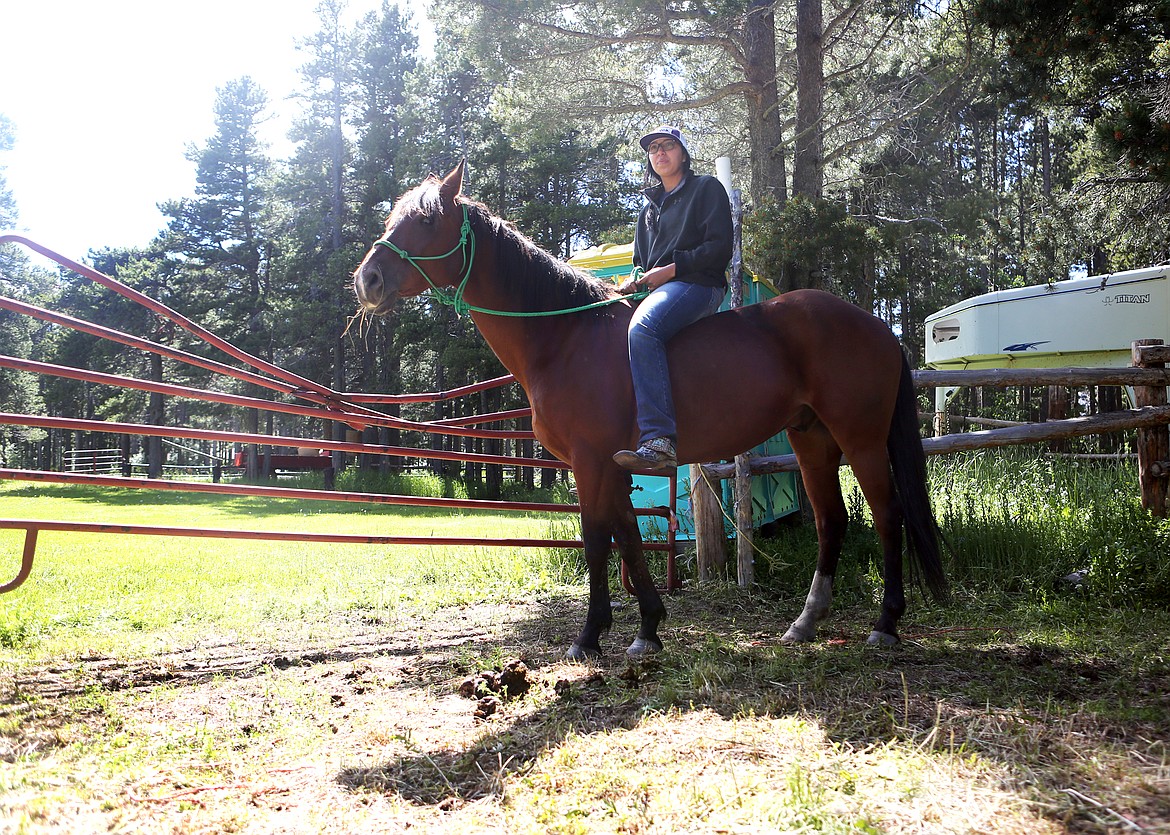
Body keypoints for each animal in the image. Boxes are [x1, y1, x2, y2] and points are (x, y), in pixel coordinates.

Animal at [351, 161, 945, 654]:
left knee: (889, 515)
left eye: (427, 221)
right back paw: (806, 623)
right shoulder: (612, 465)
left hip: (860, 438)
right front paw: (648, 629)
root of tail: (875, 324)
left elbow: (597, 541)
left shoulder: (589, 461)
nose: (367, 279)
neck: (565, 338)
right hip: (812, 438)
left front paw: (590, 637)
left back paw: (886, 624)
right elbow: (629, 539)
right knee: (831, 520)